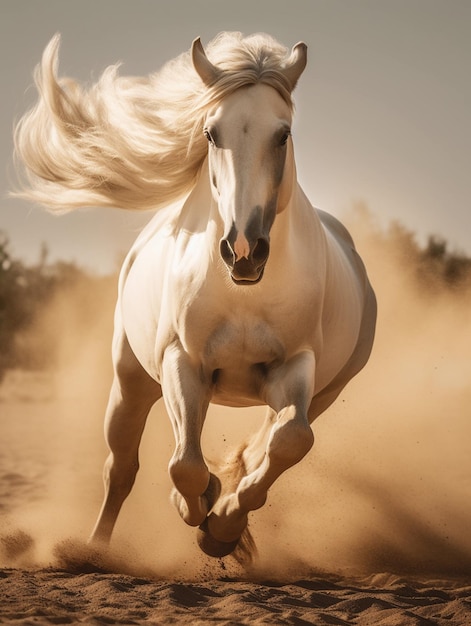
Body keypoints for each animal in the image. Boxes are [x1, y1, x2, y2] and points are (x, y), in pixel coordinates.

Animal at [12, 33, 378, 556]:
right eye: (210, 133)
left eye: (282, 134)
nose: (243, 251)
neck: (243, 295)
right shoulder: (182, 362)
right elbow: (183, 465)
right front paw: (200, 507)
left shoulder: (295, 367)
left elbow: (290, 440)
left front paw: (223, 525)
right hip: (131, 381)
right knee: (121, 467)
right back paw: (94, 548)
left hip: (328, 389)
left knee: (267, 440)